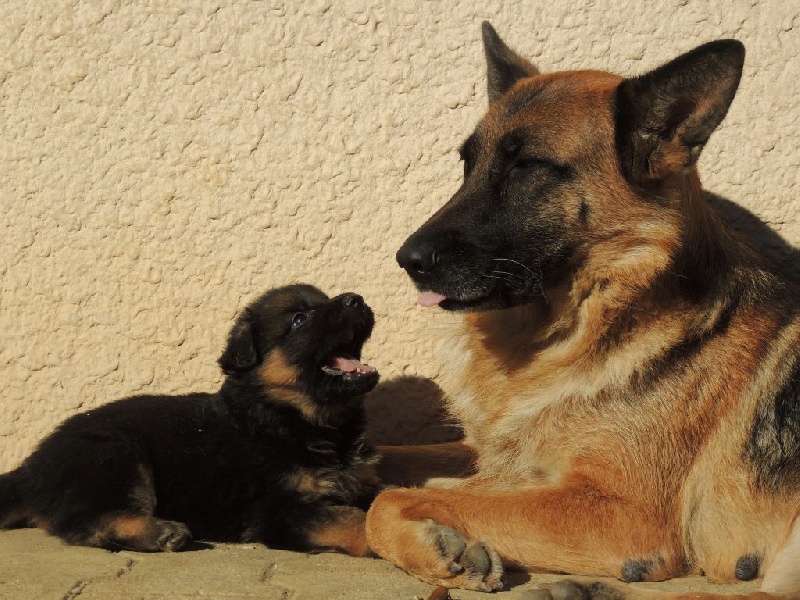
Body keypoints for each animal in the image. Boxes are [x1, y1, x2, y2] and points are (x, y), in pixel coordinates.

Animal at [0, 284, 382, 556]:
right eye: (300, 319)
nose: (357, 300)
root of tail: (28, 469)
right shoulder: (277, 510)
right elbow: (353, 520)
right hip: (115, 452)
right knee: (84, 522)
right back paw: (161, 533)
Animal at [366, 21, 800, 596]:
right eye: (467, 163)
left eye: (527, 168)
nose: (407, 260)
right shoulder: (505, 462)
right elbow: (387, 457)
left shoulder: (619, 515)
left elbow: (387, 499)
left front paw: (433, 543)